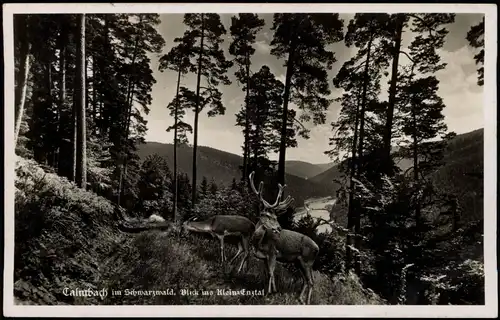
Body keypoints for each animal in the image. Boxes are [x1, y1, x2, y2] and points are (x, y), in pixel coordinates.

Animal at [247, 172, 320, 304]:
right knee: (306, 280)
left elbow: (271, 272)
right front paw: (265, 290)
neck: (259, 243)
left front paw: (270, 293)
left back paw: (306, 301)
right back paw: (300, 299)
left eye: (276, 217)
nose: (279, 228)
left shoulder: (273, 252)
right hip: (299, 262)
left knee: (311, 281)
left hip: (307, 261)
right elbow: (266, 273)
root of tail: (317, 248)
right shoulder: (264, 257)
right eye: (266, 215)